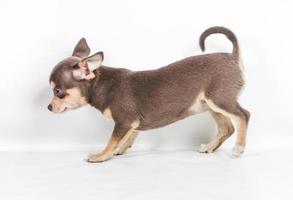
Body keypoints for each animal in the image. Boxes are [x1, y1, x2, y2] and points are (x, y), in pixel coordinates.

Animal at [48, 26, 249, 162]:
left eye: (57, 91)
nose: (49, 107)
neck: (101, 84)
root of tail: (232, 56)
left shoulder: (124, 121)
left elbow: (112, 140)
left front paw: (102, 155)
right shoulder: (132, 123)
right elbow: (129, 136)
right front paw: (120, 149)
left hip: (219, 100)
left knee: (243, 116)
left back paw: (239, 148)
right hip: (210, 105)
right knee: (227, 128)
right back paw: (209, 147)